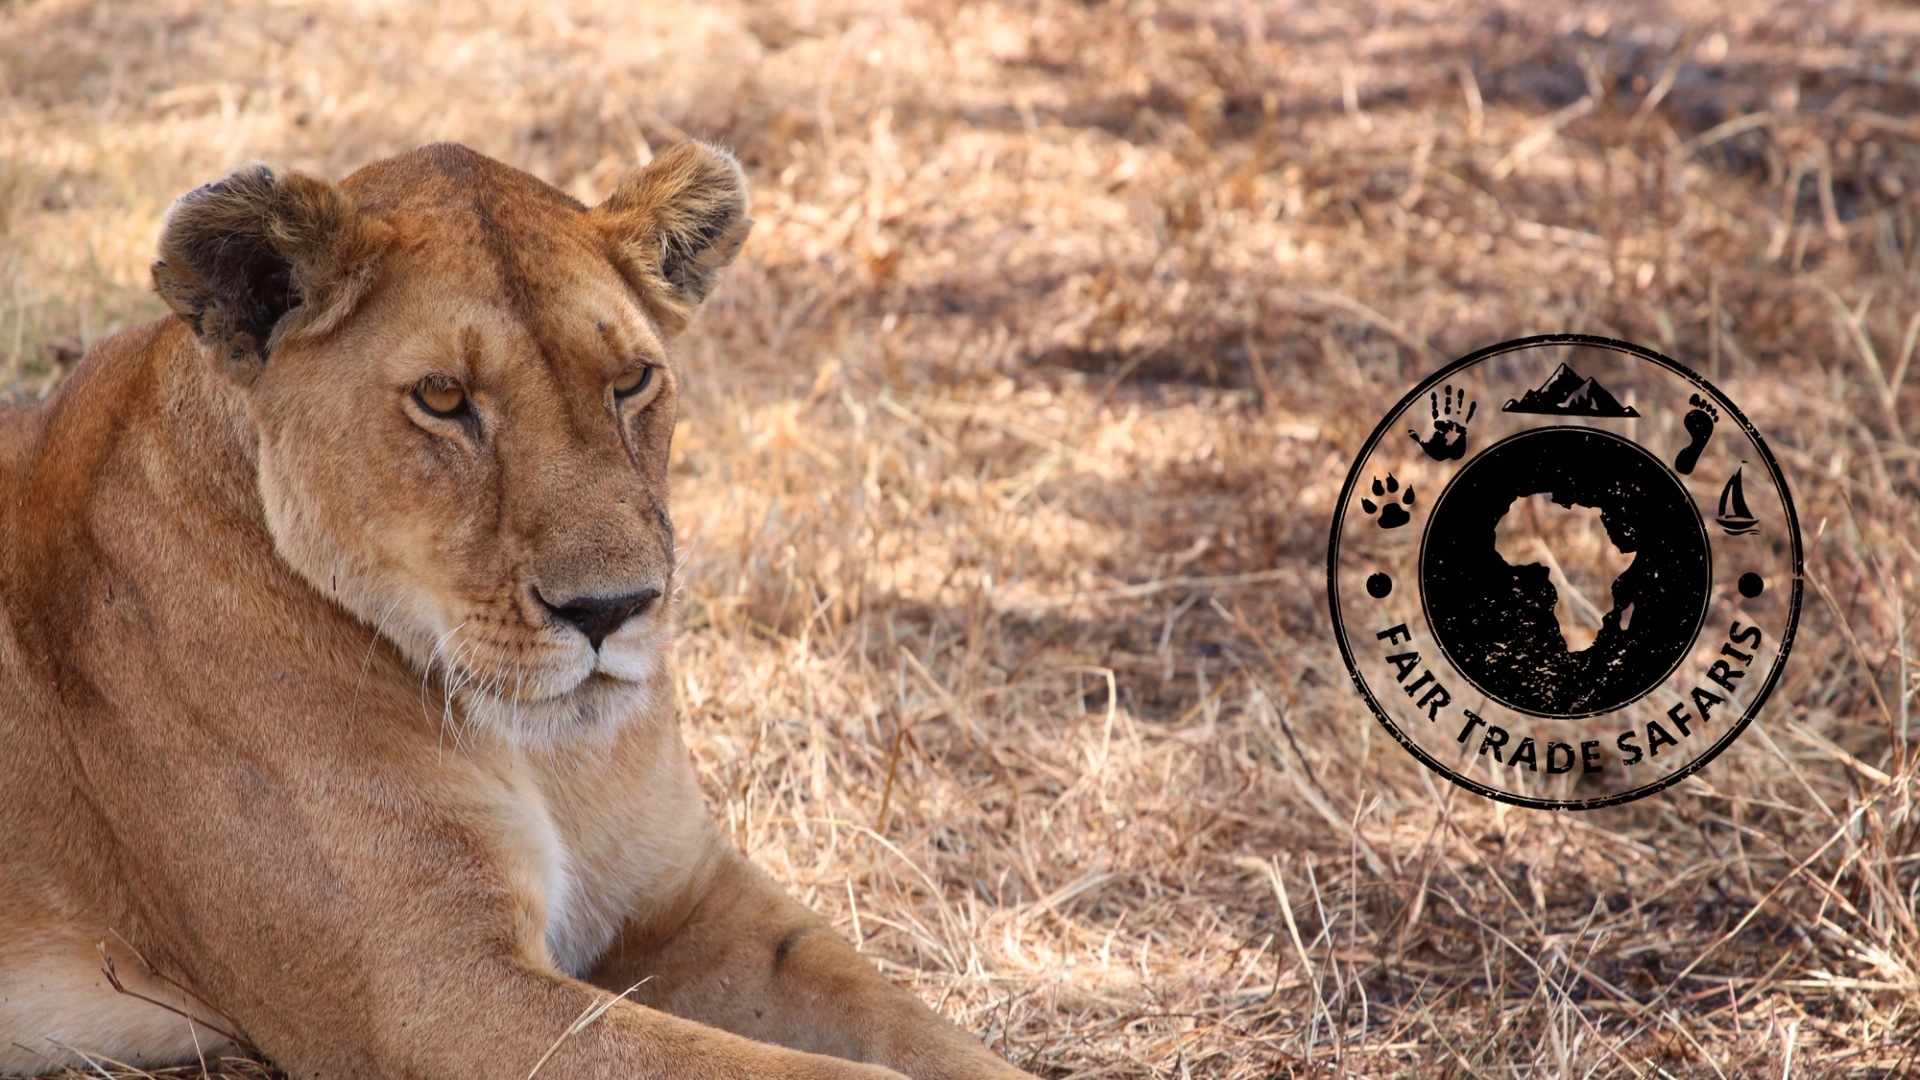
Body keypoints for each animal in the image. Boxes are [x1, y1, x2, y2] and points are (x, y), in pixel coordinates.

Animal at [0, 142, 1028, 1080]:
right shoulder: (430, 992)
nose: (613, 608)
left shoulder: (683, 897)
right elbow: (786, 1069)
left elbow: (911, 1027)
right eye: (443, 398)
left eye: (632, 381)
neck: (548, 757)